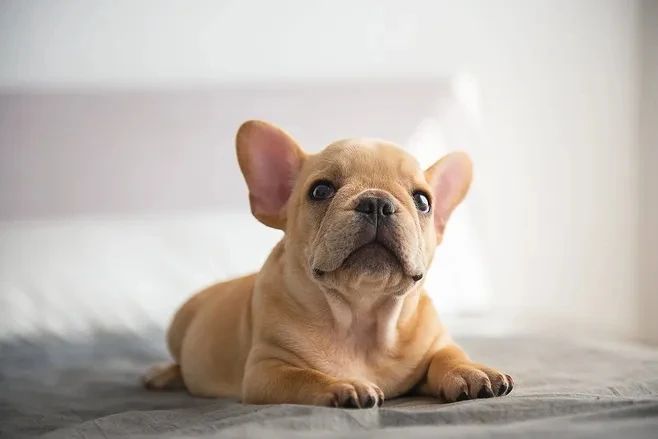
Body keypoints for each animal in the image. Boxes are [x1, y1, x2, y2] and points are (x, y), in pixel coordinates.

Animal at [143, 120, 513, 407]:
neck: (364, 315)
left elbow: (449, 355)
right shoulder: (268, 370)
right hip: (179, 327)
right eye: (320, 191)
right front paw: (342, 385)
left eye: (422, 201)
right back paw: (162, 373)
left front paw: (471, 370)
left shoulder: (436, 343)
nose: (376, 202)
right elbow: (305, 376)